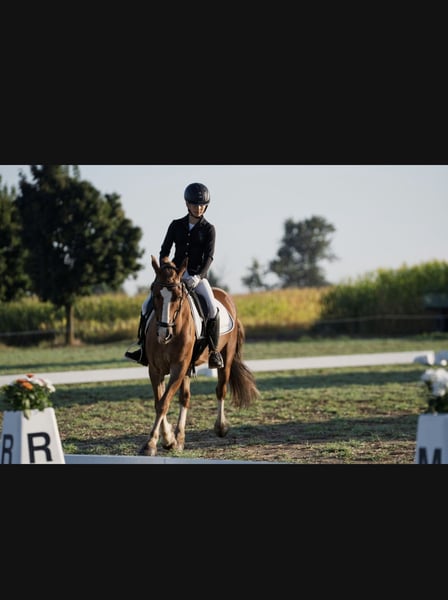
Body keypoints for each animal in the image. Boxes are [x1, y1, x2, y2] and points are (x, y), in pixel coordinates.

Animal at [139, 255, 260, 457]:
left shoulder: (178, 368)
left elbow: (164, 402)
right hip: (188, 368)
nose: (164, 334)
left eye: (178, 296)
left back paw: (220, 427)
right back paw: (179, 438)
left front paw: (151, 444)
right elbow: (159, 401)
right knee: (185, 398)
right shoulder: (155, 369)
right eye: (155, 293)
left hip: (225, 358)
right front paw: (168, 438)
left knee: (220, 390)